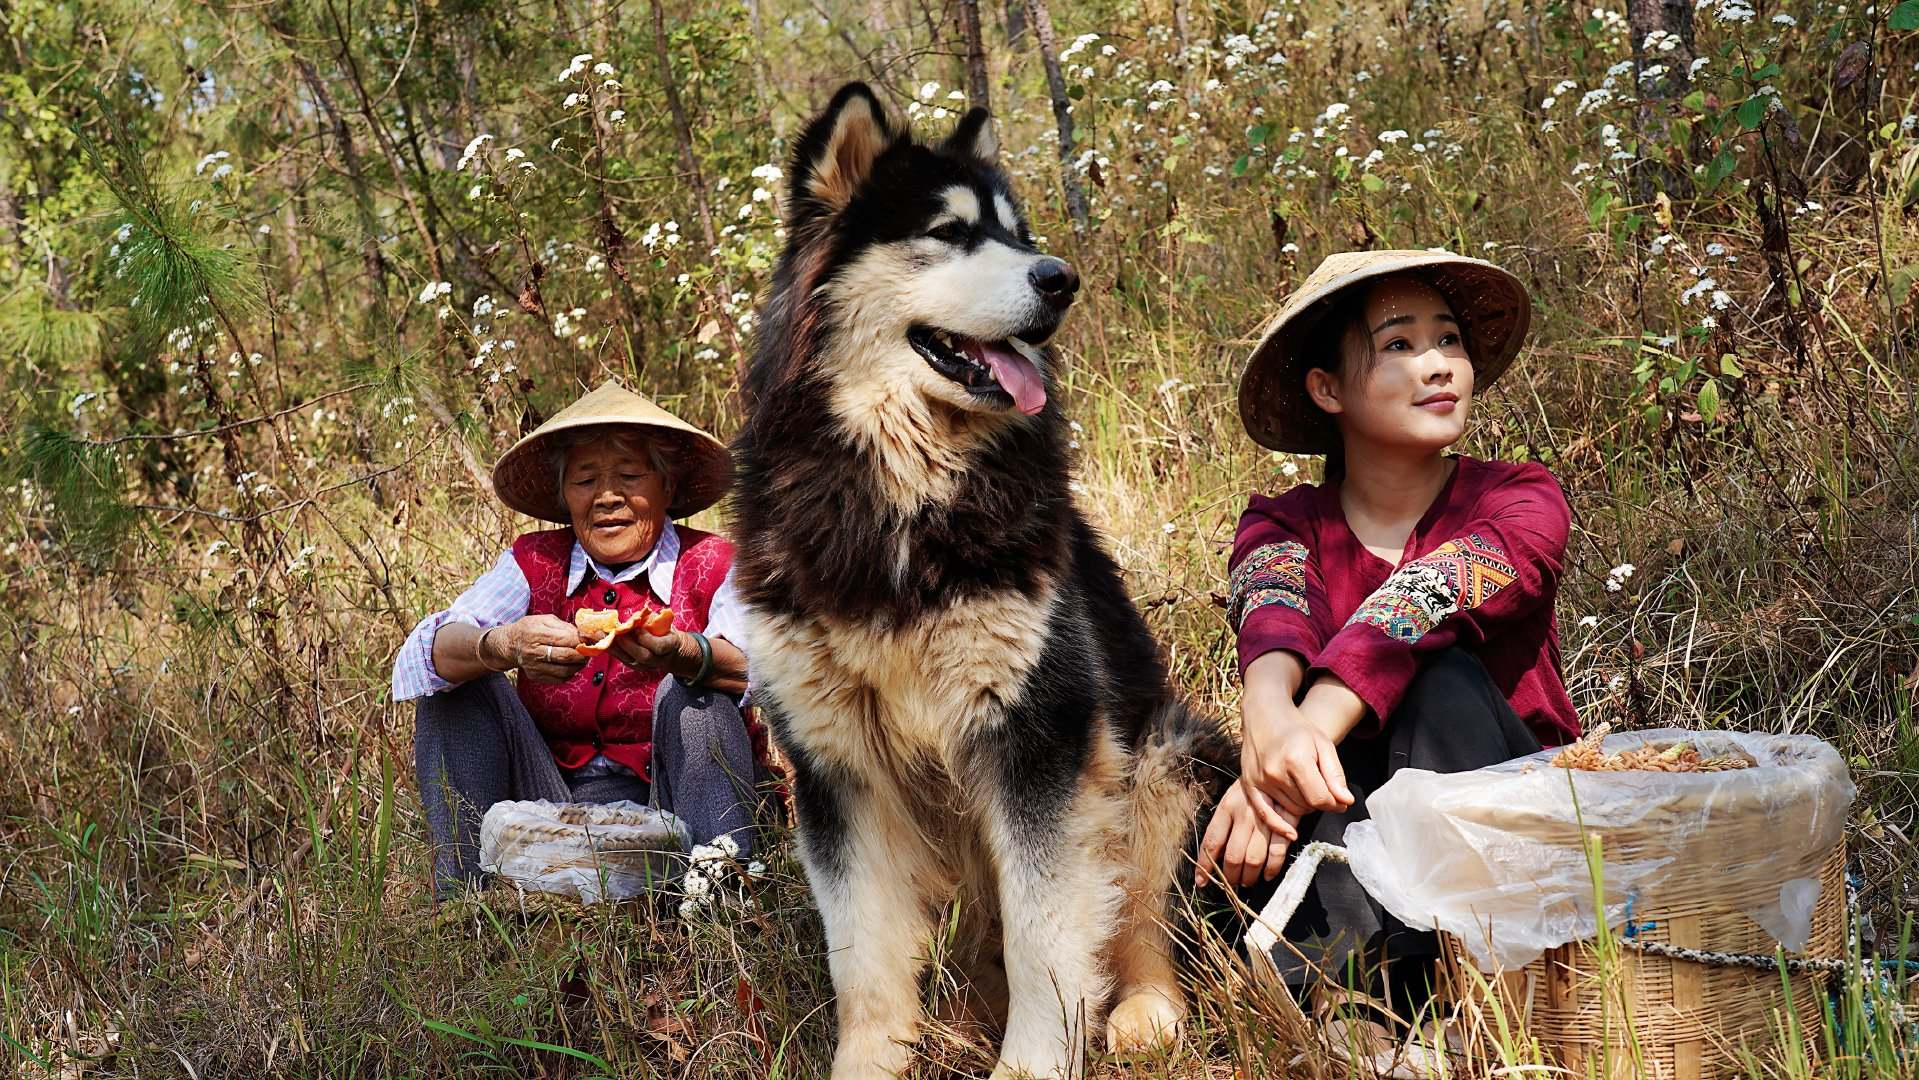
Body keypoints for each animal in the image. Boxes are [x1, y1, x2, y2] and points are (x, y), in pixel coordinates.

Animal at [725, 86, 1235, 1080]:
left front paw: (1034, 1061)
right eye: (950, 232)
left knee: (1145, 920)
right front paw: (872, 1062)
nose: (1061, 277)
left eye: (1016, 232)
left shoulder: (1041, 739)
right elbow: (862, 960)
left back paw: (1145, 1012)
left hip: (1168, 760)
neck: (901, 496)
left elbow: (1047, 939)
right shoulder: (835, 765)